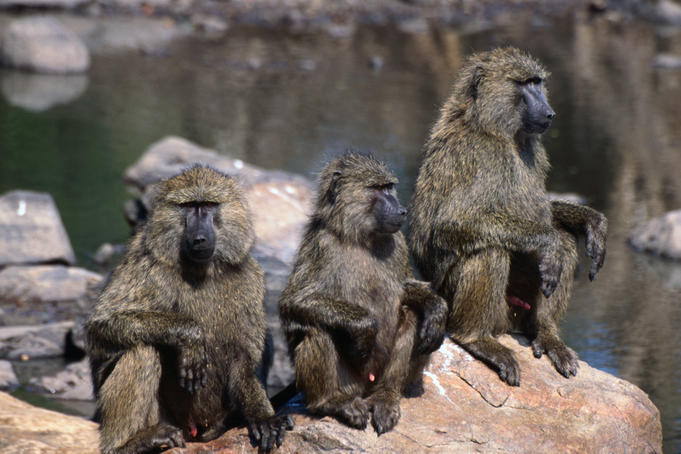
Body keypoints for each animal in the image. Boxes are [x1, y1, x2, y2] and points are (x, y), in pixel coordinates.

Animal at [85, 165, 293, 454]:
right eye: (188, 206)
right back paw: (128, 443)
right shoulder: (146, 265)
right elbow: (102, 324)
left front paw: (263, 417)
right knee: (142, 349)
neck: (202, 269)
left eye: (208, 205)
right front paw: (191, 337)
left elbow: (245, 358)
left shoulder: (250, 277)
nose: (199, 238)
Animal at [279, 152, 448, 434]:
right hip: (350, 383)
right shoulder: (320, 244)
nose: (402, 210)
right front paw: (365, 327)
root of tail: (365, 387)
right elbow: (293, 301)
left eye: (389, 187)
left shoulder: (399, 243)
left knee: (411, 315)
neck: (360, 237)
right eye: (376, 189)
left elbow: (406, 289)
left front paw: (436, 308)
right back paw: (332, 402)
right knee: (316, 327)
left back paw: (386, 396)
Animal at [408, 47, 608, 387]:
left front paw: (589, 220)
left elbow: (543, 214)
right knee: (489, 250)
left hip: (516, 309)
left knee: (565, 241)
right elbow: (451, 224)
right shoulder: (477, 154)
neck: (496, 129)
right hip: (463, 300)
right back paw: (477, 338)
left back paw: (546, 333)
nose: (550, 113)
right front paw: (549, 242)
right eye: (525, 84)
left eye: (538, 83)